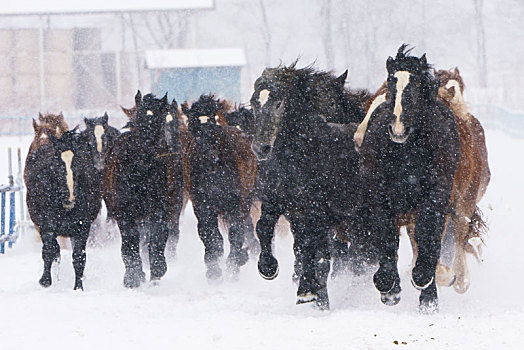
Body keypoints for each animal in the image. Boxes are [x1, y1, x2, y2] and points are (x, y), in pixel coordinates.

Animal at [24, 126, 102, 290]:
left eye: (78, 163)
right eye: (57, 163)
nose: (69, 197)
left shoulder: (82, 226)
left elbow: (79, 256)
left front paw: (78, 287)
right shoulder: (47, 225)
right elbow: (49, 250)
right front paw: (45, 281)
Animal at [102, 91, 184, 288]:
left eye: (158, 121)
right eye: (138, 120)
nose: (146, 153)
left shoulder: (160, 209)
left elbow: (158, 236)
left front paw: (157, 268)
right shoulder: (124, 212)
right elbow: (130, 241)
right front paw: (133, 276)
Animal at [251, 63, 368, 308]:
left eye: (279, 102)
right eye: (254, 102)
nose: (261, 148)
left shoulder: (316, 213)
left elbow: (313, 252)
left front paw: (310, 292)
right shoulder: (277, 203)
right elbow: (264, 227)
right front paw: (268, 268)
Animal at [358, 45, 460, 312]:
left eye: (415, 85)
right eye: (391, 82)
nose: (397, 129)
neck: (406, 156)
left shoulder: (434, 198)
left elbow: (427, 236)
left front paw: (423, 282)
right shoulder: (380, 199)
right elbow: (386, 238)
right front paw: (388, 287)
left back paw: (428, 295)